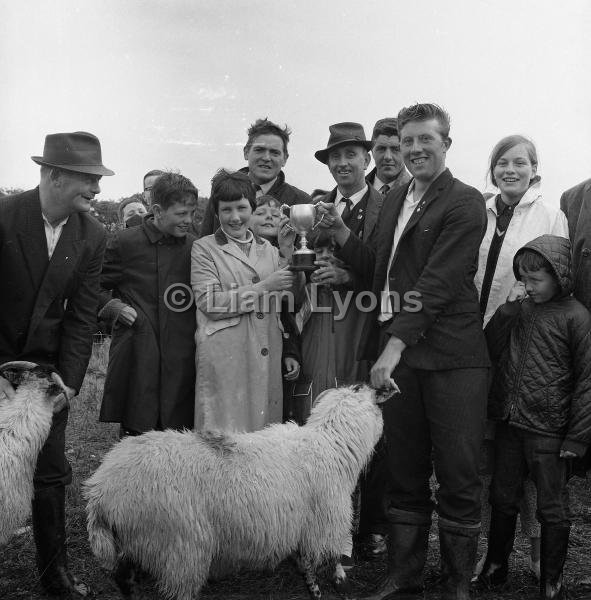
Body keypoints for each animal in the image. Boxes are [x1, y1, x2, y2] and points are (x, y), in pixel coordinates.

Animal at [83, 384, 388, 600]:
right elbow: (332, 558)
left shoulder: (303, 522)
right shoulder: (326, 521)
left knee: (124, 578)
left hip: (134, 538)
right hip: (180, 547)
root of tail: (100, 490)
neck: (329, 444)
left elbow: (306, 560)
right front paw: (334, 585)